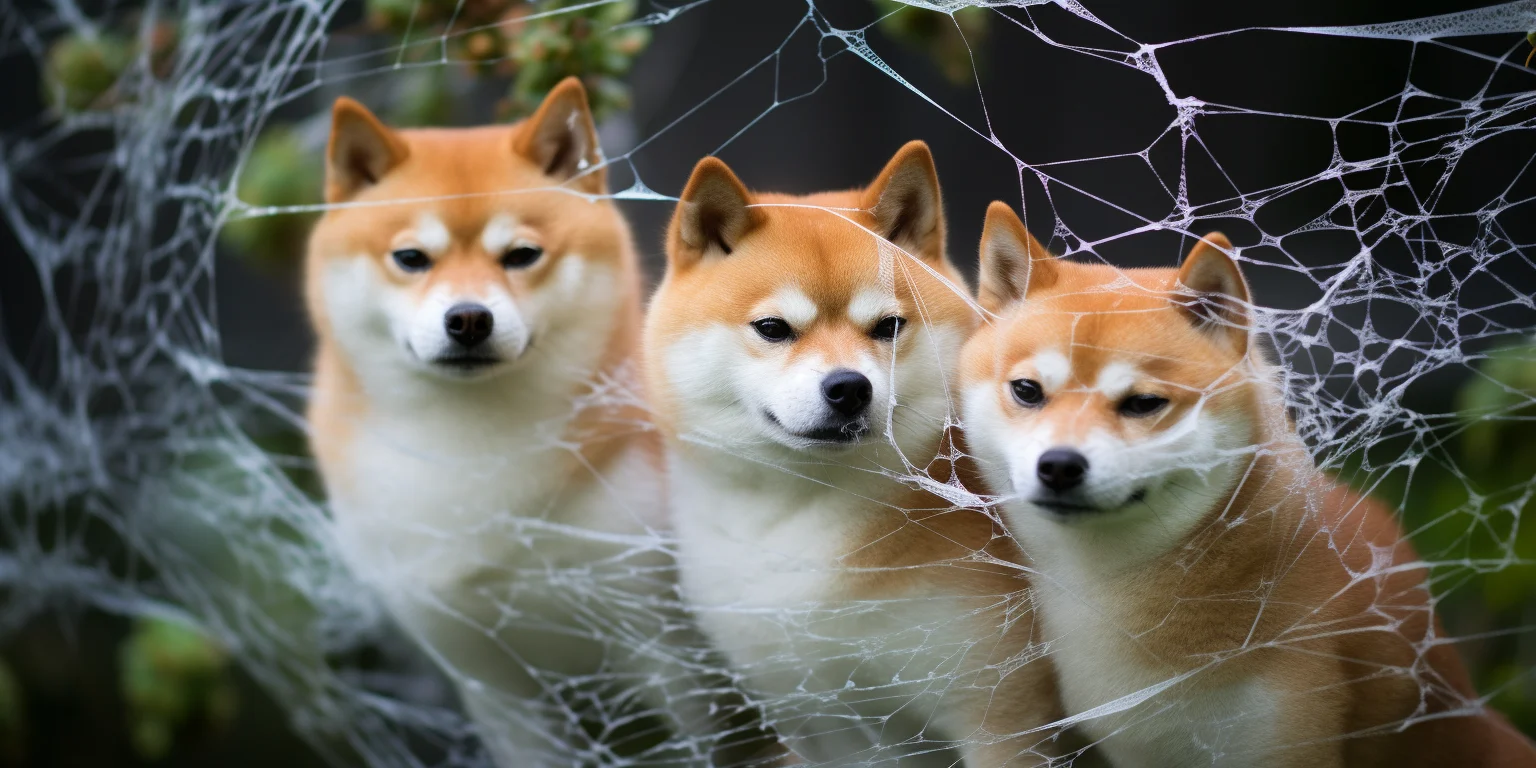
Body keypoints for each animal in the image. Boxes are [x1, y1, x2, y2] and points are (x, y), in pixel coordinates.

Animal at [307, 77, 731, 768]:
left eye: (522, 255)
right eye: (411, 258)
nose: (468, 318)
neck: (473, 454)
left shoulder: (679, 662)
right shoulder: (493, 687)